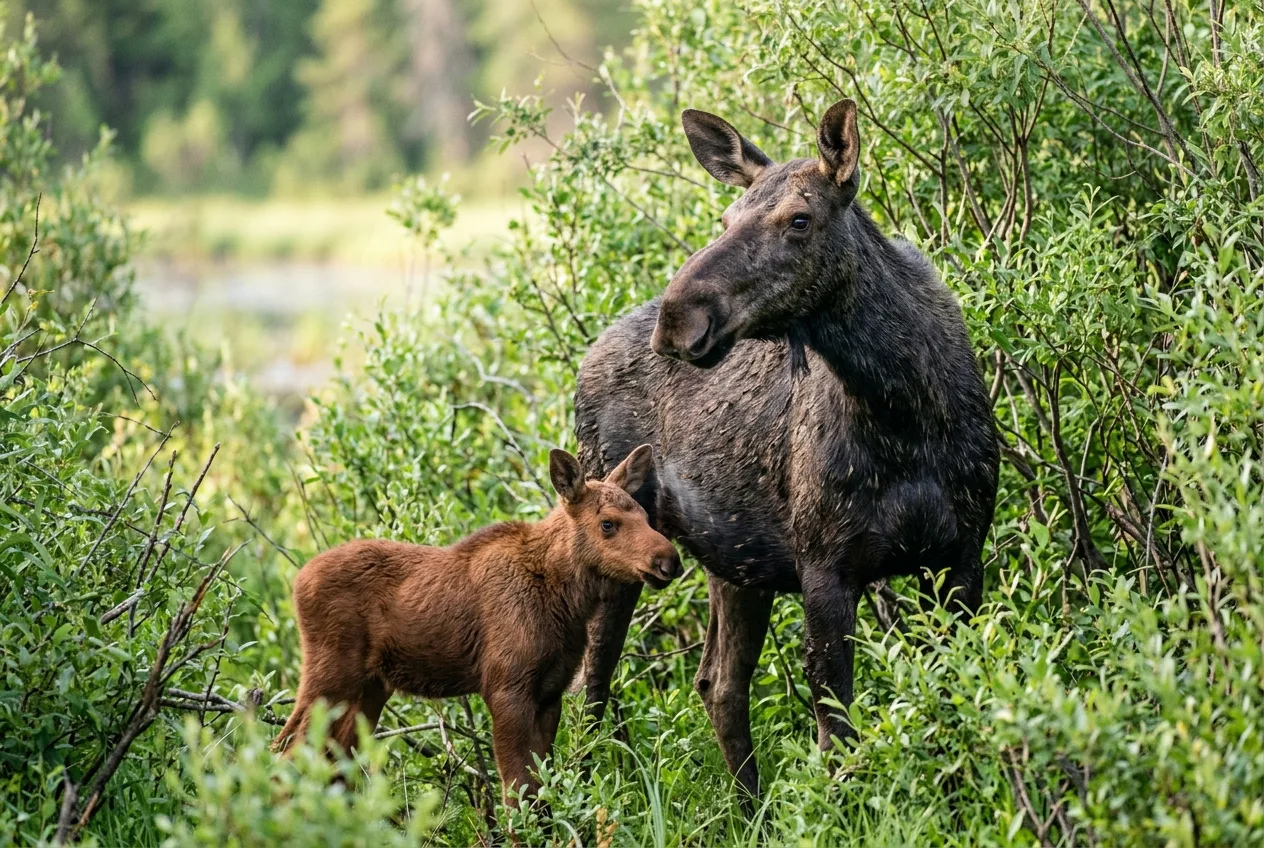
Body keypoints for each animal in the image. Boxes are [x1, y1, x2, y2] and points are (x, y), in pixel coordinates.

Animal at [272, 445, 681, 808]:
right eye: (607, 524)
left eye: (646, 517)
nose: (669, 561)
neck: (565, 600)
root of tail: (297, 582)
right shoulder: (505, 687)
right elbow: (518, 791)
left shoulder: (551, 692)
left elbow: (541, 790)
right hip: (329, 677)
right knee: (286, 752)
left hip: (369, 689)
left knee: (330, 764)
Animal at [573, 98, 1000, 804]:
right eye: (725, 218)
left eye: (799, 220)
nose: (678, 319)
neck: (901, 409)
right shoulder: (826, 569)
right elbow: (838, 738)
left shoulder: (961, 554)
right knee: (590, 685)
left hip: (734, 561)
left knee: (716, 683)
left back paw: (753, 812)